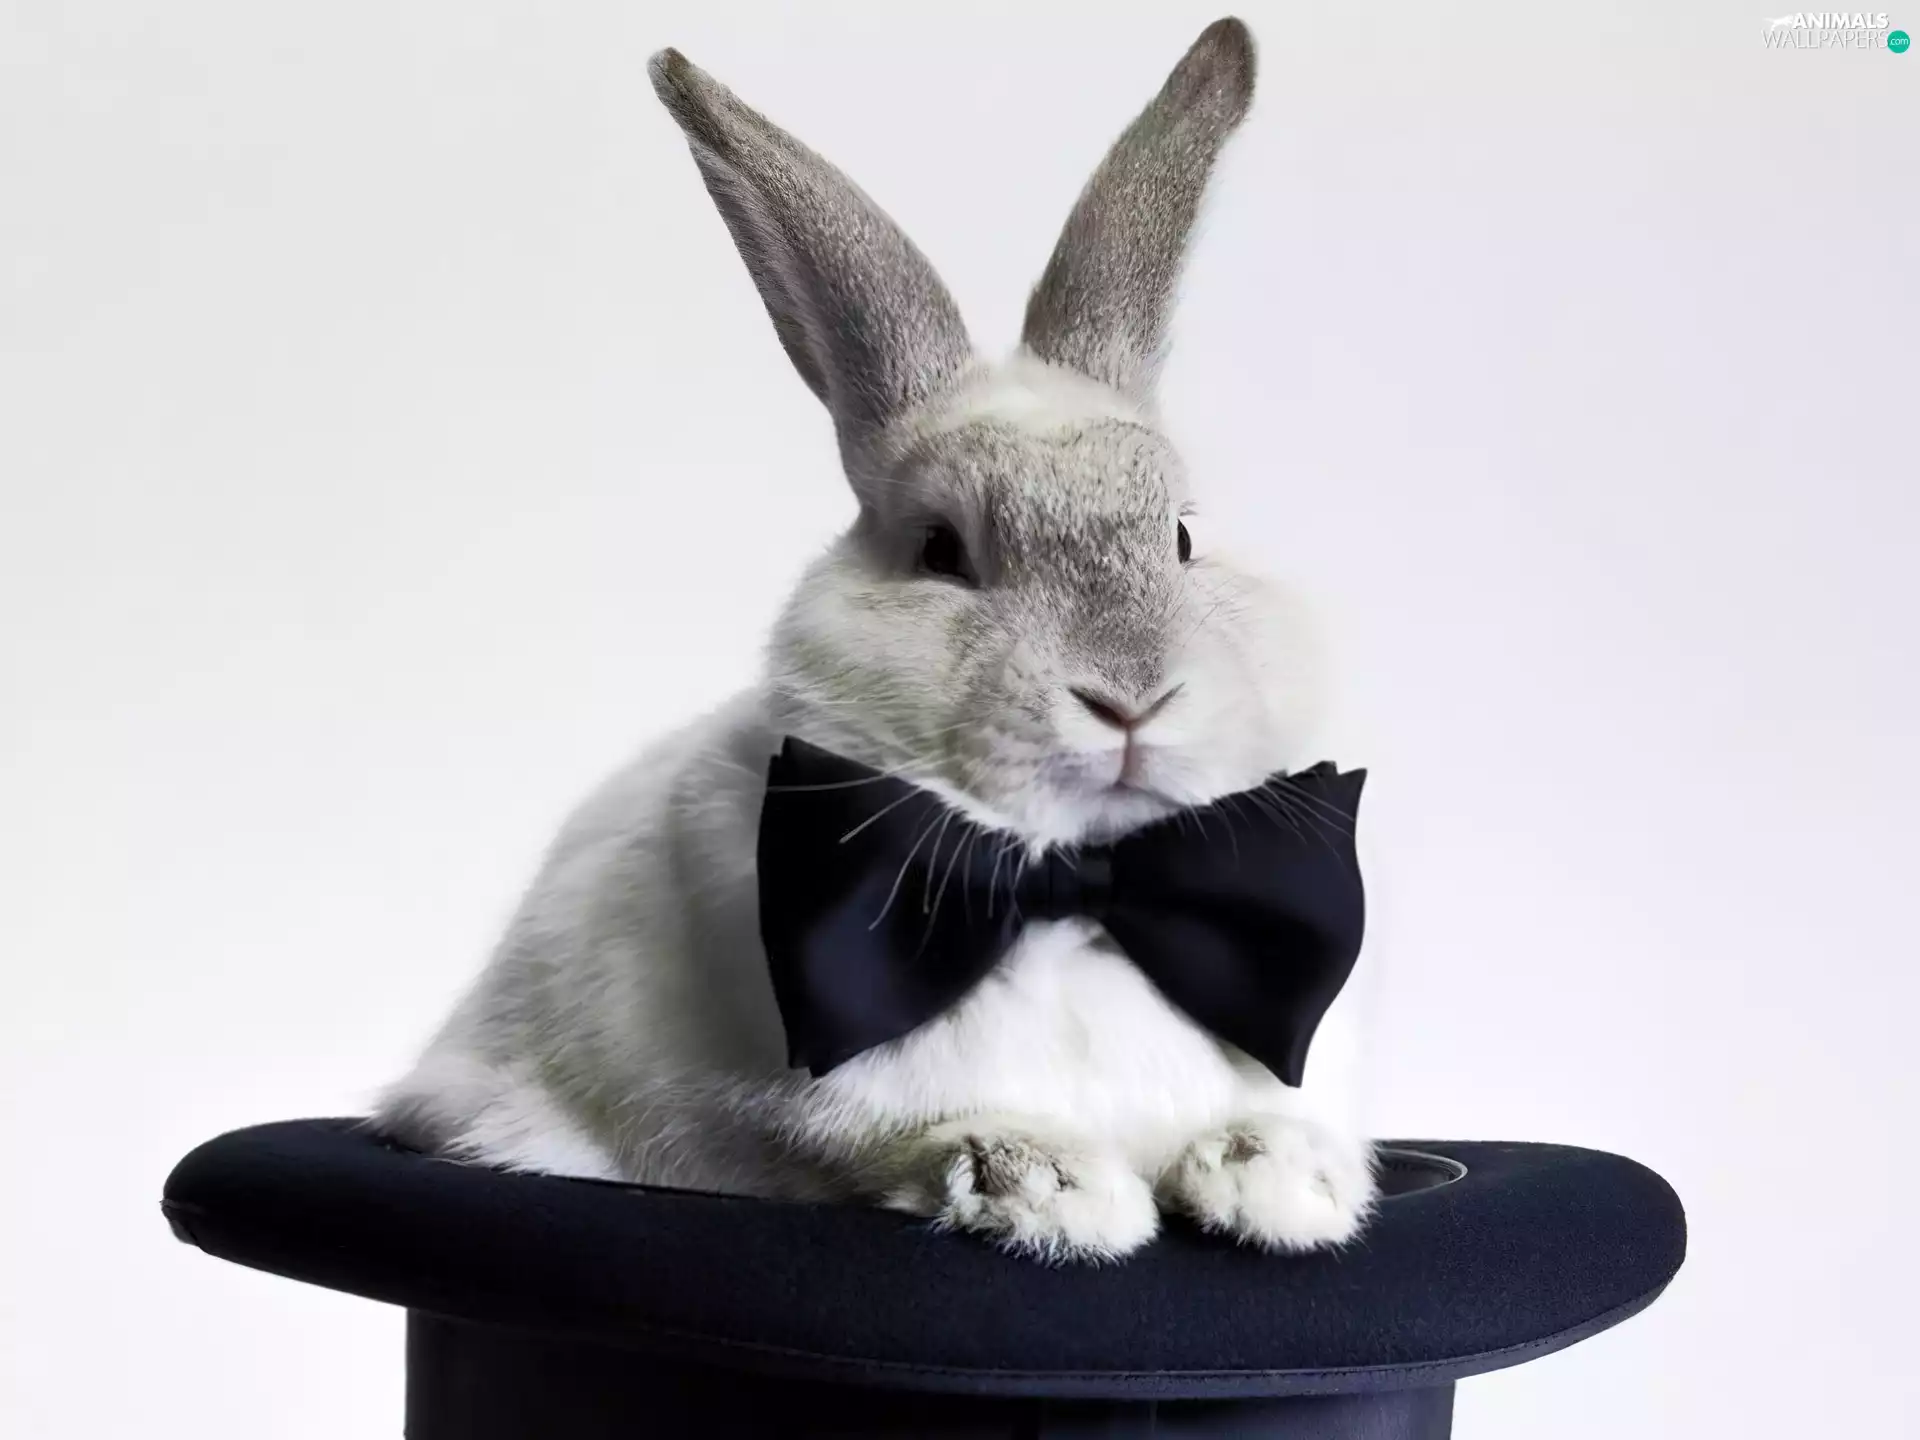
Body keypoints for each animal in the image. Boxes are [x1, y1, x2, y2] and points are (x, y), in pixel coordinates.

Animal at [376, 17, 1379, 1263]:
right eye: (943, 551)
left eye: (1184, 536)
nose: (1133, 697)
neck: (1084, 899)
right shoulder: (757, 1120)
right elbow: (880, 1143)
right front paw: (1052, 1188)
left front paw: (1279, 1182)